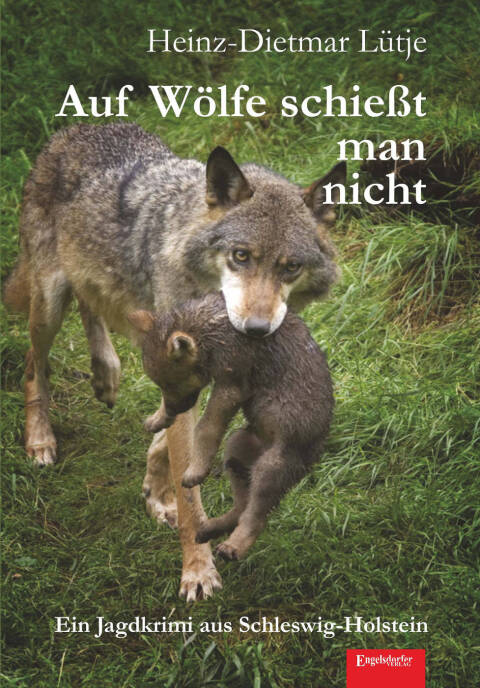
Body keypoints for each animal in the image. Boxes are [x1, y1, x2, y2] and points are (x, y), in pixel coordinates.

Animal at [129, 291, 334, 561]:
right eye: (160, 385)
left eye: (173, 383)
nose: (171, 412)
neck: (211, 330)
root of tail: (317, 452)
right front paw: (157, 419)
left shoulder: (231, 387)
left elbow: (206, 428)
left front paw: (195, 470)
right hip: (237, 450)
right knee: (241, 508)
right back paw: (210, 530)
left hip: (270, 468)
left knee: (255, 518)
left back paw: (233, 547)